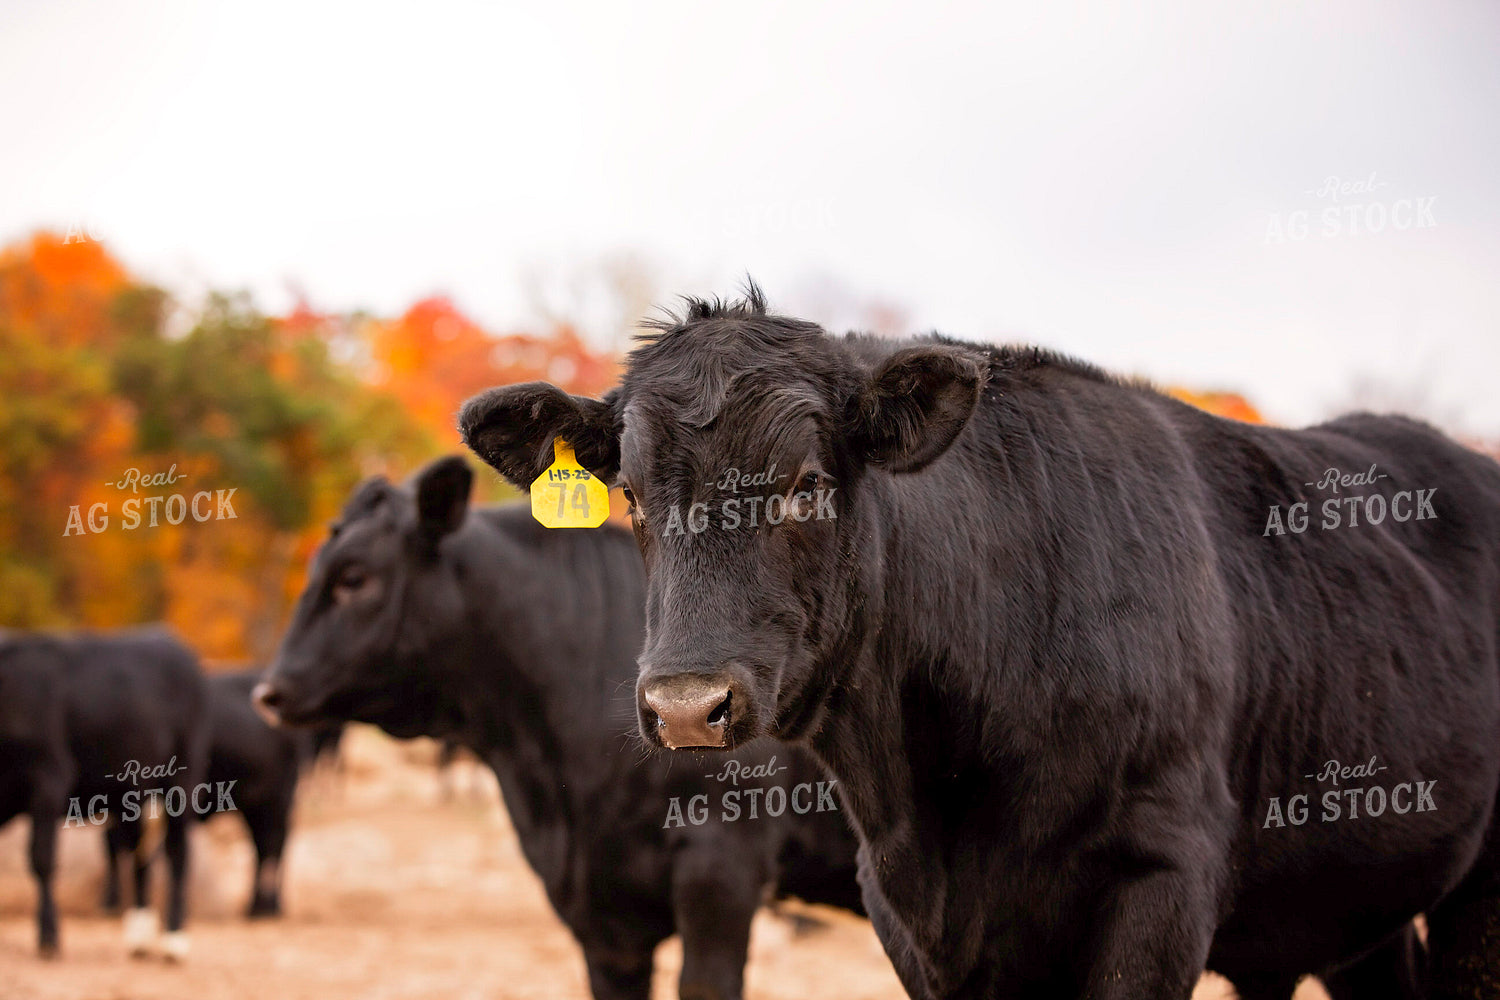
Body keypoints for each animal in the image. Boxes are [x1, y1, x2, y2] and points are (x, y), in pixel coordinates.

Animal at [0, 627, 209, 959]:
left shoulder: (49, 778)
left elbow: (41, 860)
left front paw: (49, 936)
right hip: (130, 793)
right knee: (139, 853)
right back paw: (139, 937)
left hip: (183, 779)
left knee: (177, 852)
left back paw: (174, 940)